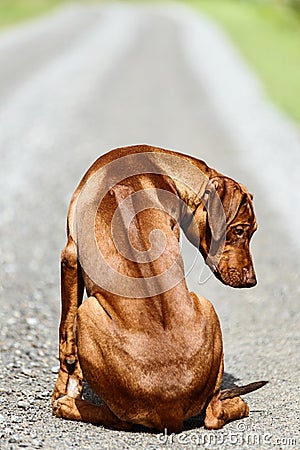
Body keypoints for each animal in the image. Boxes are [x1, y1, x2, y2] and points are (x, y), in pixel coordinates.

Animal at [52, 145, 268, 432]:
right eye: (241, 231)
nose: (251, 281)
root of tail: (171, 410)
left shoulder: (70, 256)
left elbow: (66, 340)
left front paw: (61, 390)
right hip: (207, 307)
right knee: (214, 413)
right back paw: (238, 404)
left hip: (88, 312)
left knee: (122, 420)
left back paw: (68, 405)